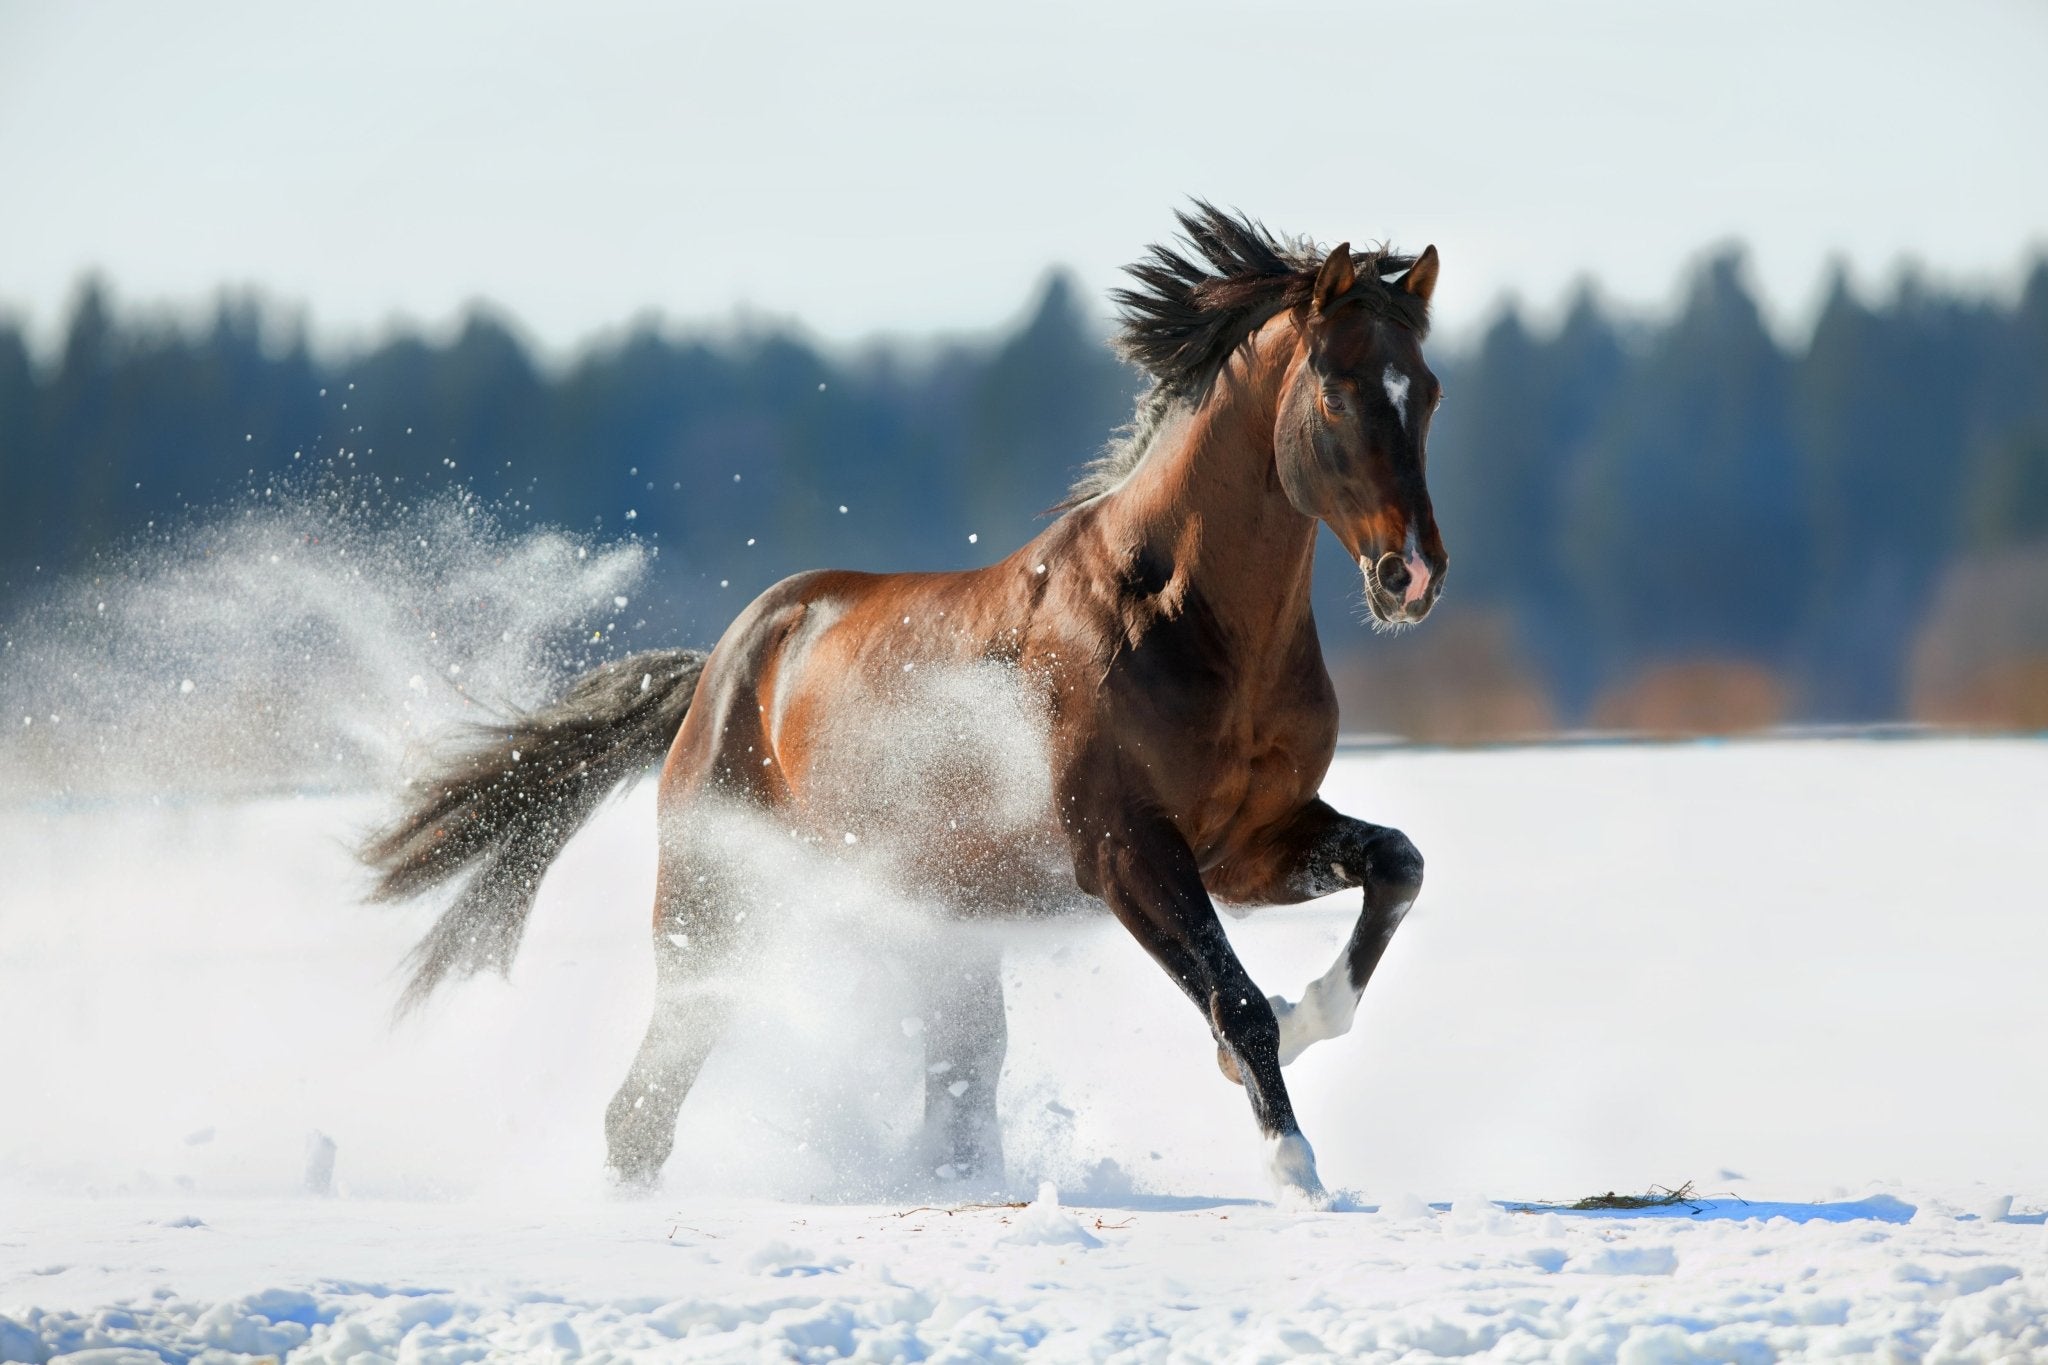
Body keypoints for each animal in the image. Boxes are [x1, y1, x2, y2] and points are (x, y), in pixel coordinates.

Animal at [360, 202, 1449, 1203]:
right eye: (1337, 391)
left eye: (1429, 390)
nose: (1412, 575)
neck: (1177, 617)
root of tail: (719, 670)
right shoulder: (1125, 853)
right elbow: (1235, 1000)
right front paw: (1295, 1169)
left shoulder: (1250, 844)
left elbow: (1397, 865)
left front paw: (1308, 1024)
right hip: (718, 912)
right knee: (645, 1105)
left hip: (940, 928)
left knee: (952, 1088)